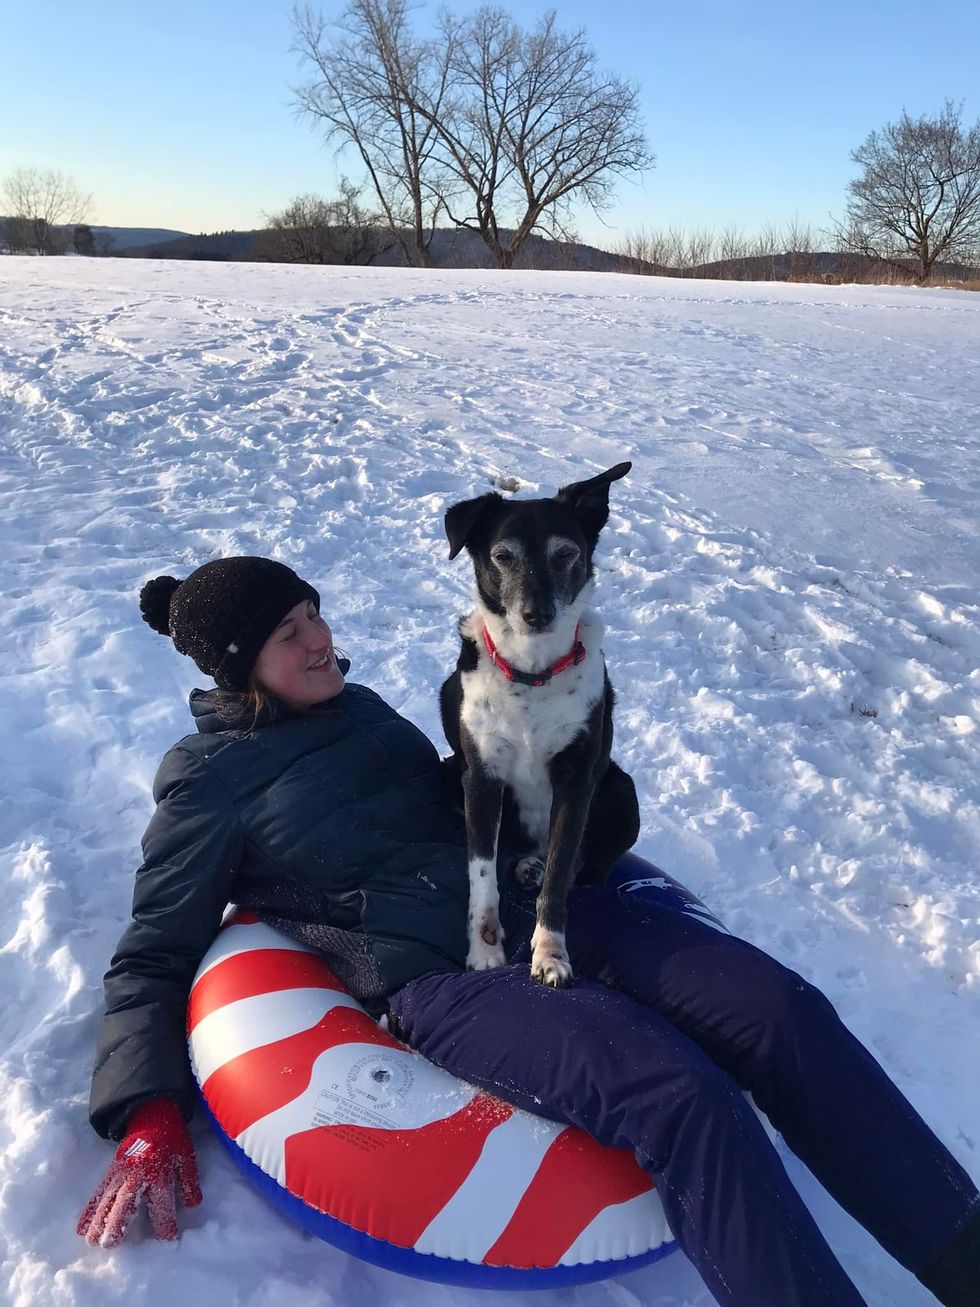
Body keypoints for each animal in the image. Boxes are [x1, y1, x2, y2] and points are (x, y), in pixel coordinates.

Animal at [441, 465, 640, 982]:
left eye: (566, 553)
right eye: (502, 556)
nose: (537, 614)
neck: (531, 675)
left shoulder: (576, 782)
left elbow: (559, 874)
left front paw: (551, 954)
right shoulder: (481, 778)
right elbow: (483, 876)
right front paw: (484, 949)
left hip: (622, 792)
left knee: (585, 869)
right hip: (449, 773)